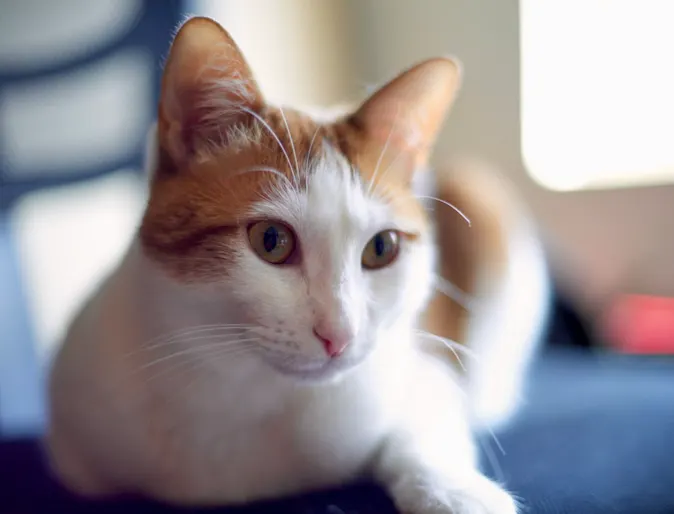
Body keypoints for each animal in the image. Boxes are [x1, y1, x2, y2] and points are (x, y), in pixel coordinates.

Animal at [44, 16, 548, 512]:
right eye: (272, 241)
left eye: (381, 248)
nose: (340, 335)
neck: (245, 392)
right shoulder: (76, 449)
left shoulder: (421, 373)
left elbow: (423, 431)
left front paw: (455, 490)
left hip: (480, 197)